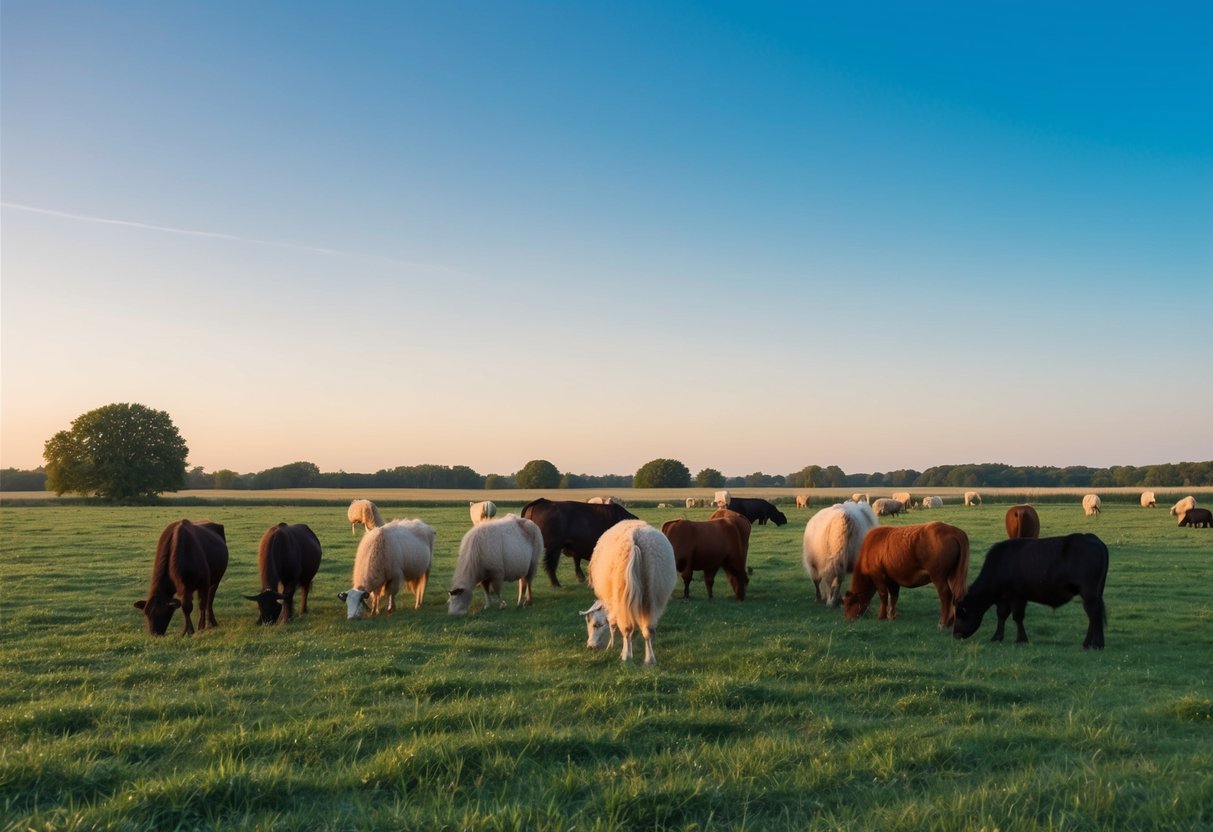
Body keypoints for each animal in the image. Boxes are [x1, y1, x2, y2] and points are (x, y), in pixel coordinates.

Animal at [582, 521, 679, 664]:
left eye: (595, 625)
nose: (590, 647)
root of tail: (635, 538)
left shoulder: (613, 605)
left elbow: (612, 625)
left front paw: (611, 647)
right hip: (653, 593)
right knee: (648, 629)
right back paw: (649, 660)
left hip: (622, 592)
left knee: (627, 629)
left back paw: (626, 657)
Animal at [839, 523, 970, 630]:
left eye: (850, 603)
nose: (847, 618)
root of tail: (953, 530)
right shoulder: (892, 579)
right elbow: (894, 596)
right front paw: (891, 615)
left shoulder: (878, 575)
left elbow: (883, 595)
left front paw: (881, 616)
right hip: (953, 575)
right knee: (955, 596)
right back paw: (951, 622)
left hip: (938, 576)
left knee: (946, 595)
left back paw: (942, 623)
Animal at [950, 533, 1111, 650]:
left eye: (960, 613)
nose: (955, 634)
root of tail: (1093, 538)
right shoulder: (1004, 599)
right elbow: (1002, 615)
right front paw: (997, 637)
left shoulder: (1017, 597)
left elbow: (1017, 617)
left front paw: (1021, 639)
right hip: (1094, 594)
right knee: (1093, 615)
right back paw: (1088, 643)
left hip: (1089, 593)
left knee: (1094, 613)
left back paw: (1097, 644)